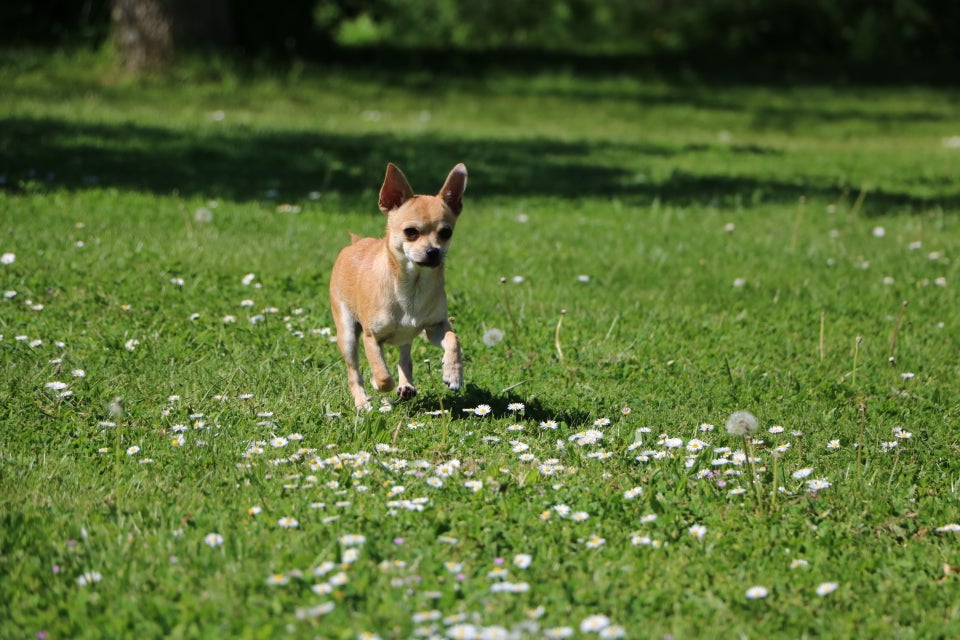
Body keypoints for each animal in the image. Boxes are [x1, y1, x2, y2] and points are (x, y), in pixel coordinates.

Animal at [328, 164, 466, 410]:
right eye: (410, 232)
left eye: (446, 232)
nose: (433, 251)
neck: (412, 286)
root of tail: (356, 242)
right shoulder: (371, 338)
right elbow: (382, 375)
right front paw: (377, 381)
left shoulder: (436, 328)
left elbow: (453, 339)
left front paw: (453, 373)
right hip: (347, 334)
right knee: (354, 373)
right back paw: (362, 402)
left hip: (406, 336)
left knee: (405, 358)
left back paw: (406, 385)